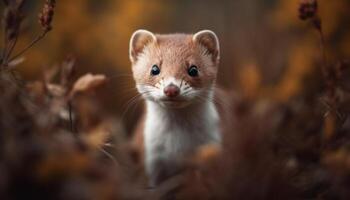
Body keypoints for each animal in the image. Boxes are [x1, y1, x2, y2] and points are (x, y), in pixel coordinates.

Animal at [129, 29, 221, 186]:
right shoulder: (151, 157)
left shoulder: (212, 145)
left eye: (193, 69)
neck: (178, 143)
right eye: (154, 68)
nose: (171, 89)